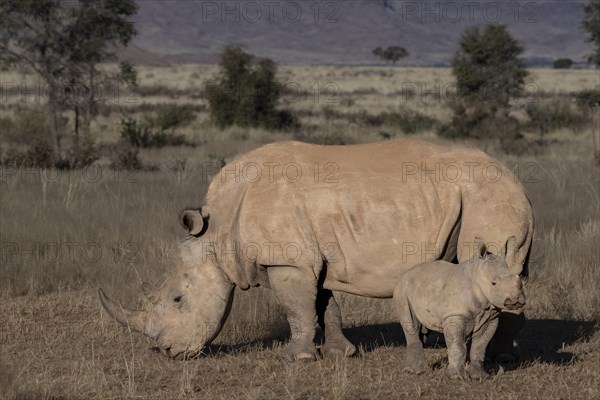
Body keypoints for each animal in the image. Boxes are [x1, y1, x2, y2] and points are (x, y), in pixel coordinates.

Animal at [394, 238, 524, 382]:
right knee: (410, 323)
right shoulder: (455, 314)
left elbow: (480, 346)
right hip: (402, 289)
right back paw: (416, 372)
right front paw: (456, 378)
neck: (477, 275)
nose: (515, 300)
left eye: (519, 279)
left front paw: (481, 377)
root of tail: (406, 273)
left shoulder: (490, 316)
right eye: (493, 283)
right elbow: (458, 346)